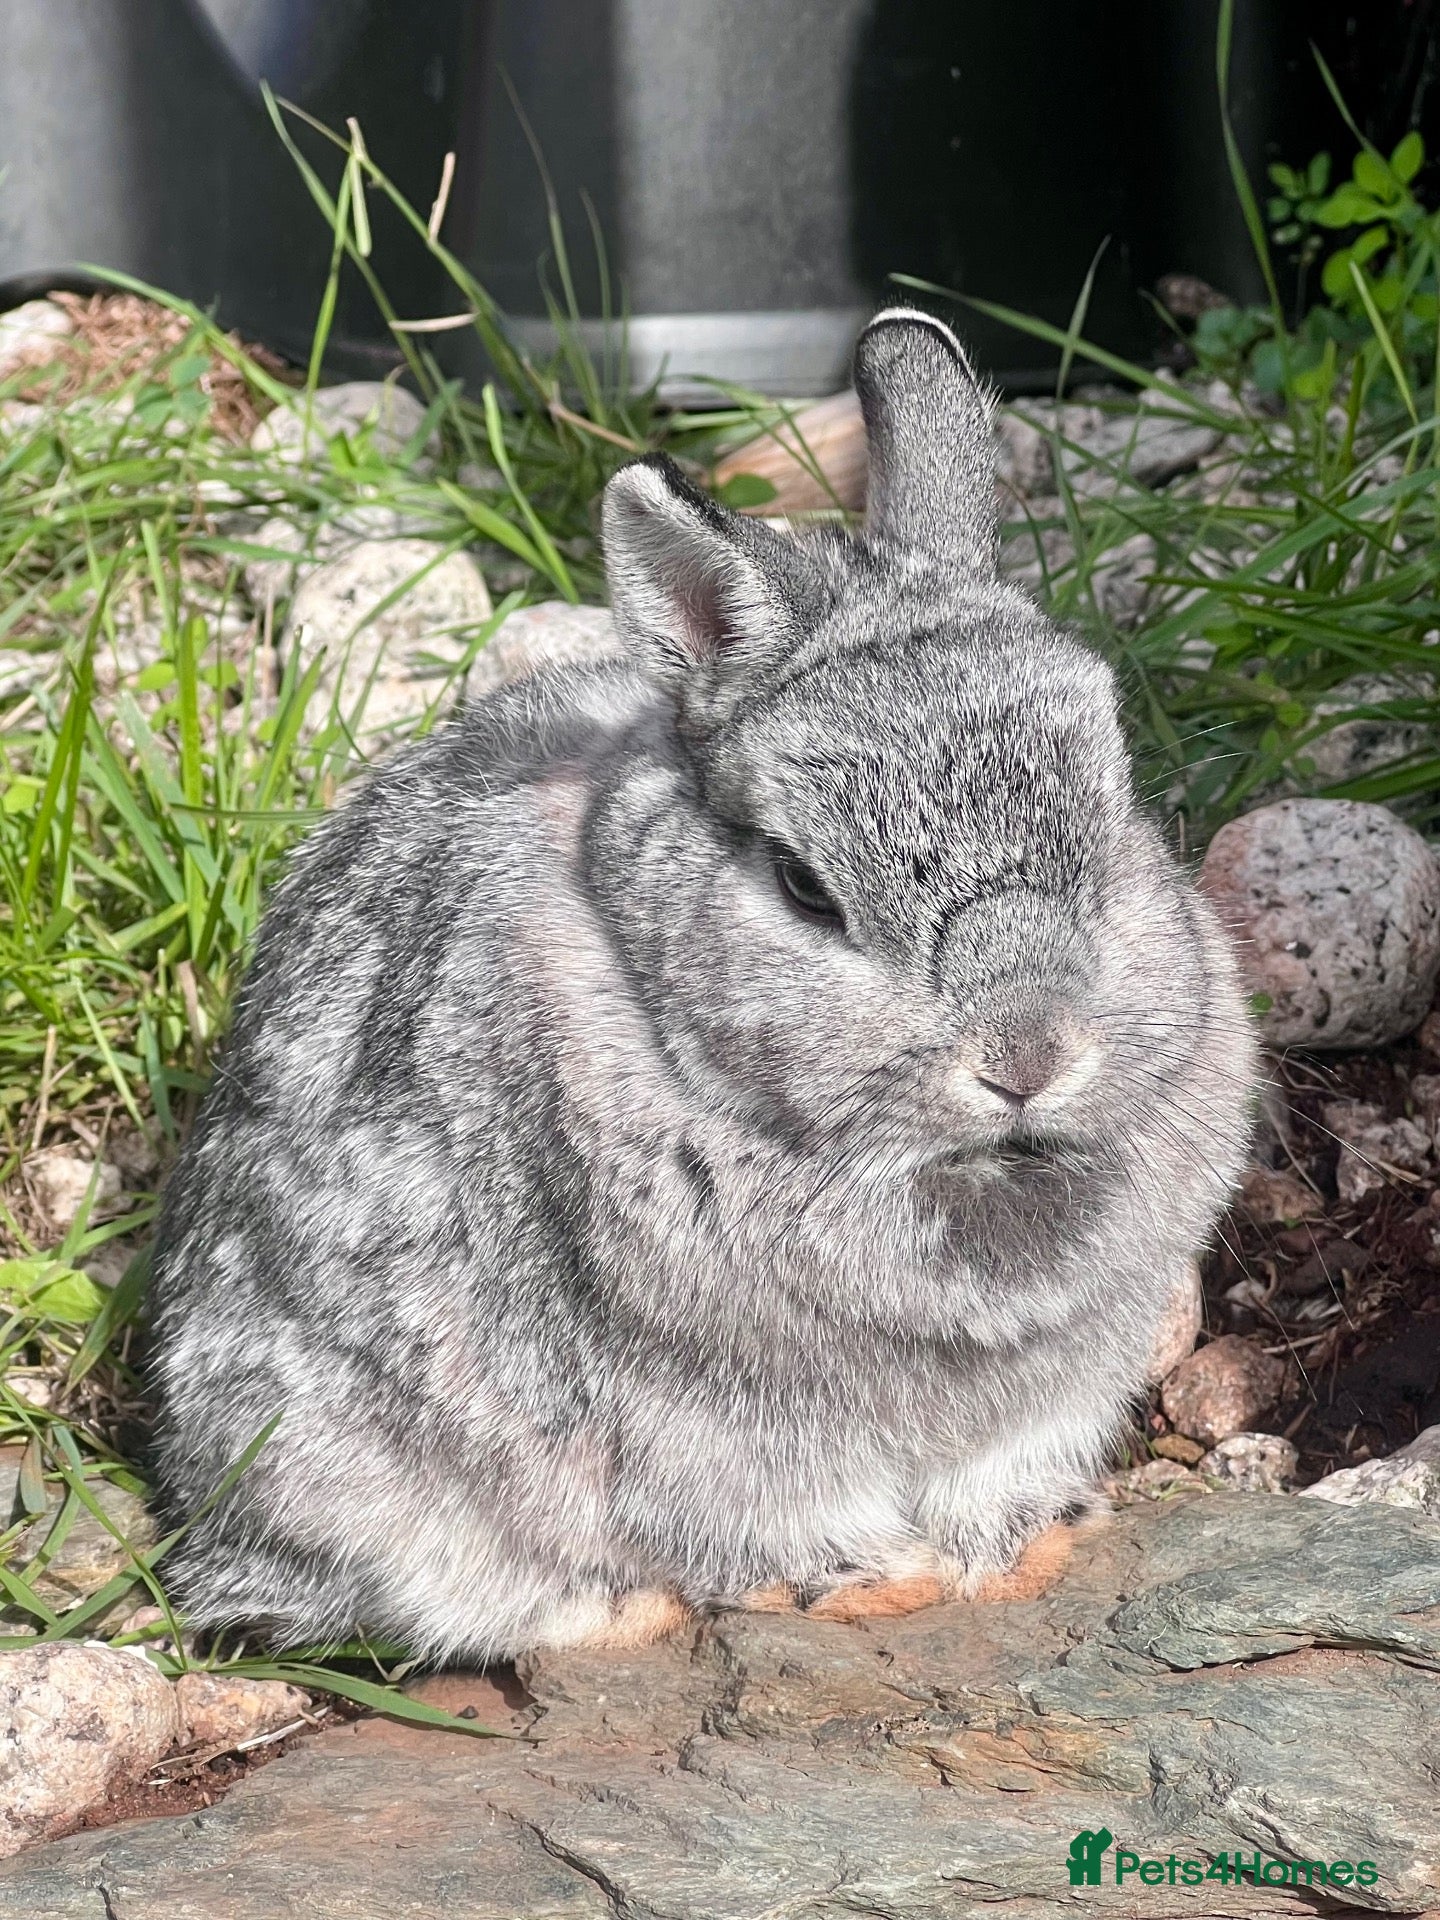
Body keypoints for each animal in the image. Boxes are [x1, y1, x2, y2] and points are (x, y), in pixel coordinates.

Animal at [147, 310, 1257, 1660]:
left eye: (1114, 806)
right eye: (802, 885)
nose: (1027, 1055)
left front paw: (1025, 1543)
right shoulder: (714, 1419)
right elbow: (765, 1514)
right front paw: (873, 1582)